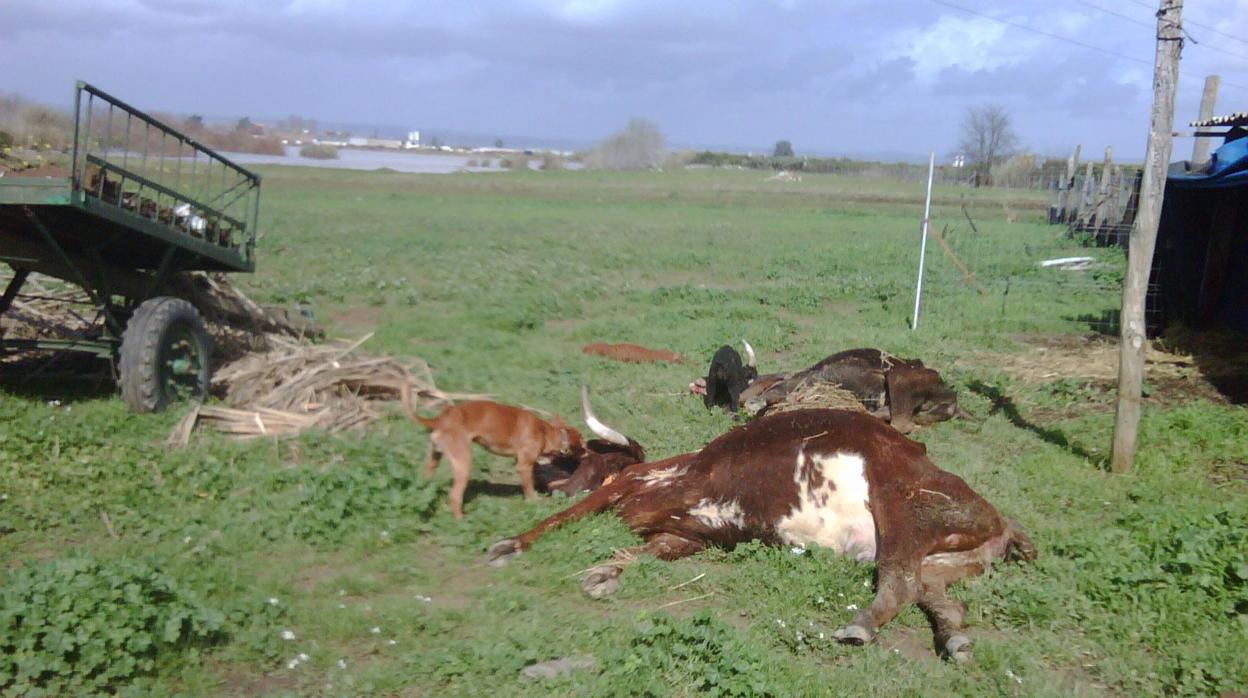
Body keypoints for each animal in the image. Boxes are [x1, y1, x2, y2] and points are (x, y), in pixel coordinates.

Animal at [404, 394, 589, 519]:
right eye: (584, 443)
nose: (589, 452)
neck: (546, 432)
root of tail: (440, 419)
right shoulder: (524, 466)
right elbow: (529, 488)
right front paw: (534, 501)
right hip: (463, 463)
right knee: (454, 497)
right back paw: (461, 519)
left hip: (434, 458)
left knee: (427, 479)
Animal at [486, 409, 1033, 659]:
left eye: (582, 460)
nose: (545, 480)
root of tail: (1002, 521)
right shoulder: (689, 535)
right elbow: (647, 549)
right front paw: (607, 571)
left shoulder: (639, 488)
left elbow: (576, 513)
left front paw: (511, 543)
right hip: (944, 556)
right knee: (934, 591)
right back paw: (955, 637)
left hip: (901, 506)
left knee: (898, 581)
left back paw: (861, 625)